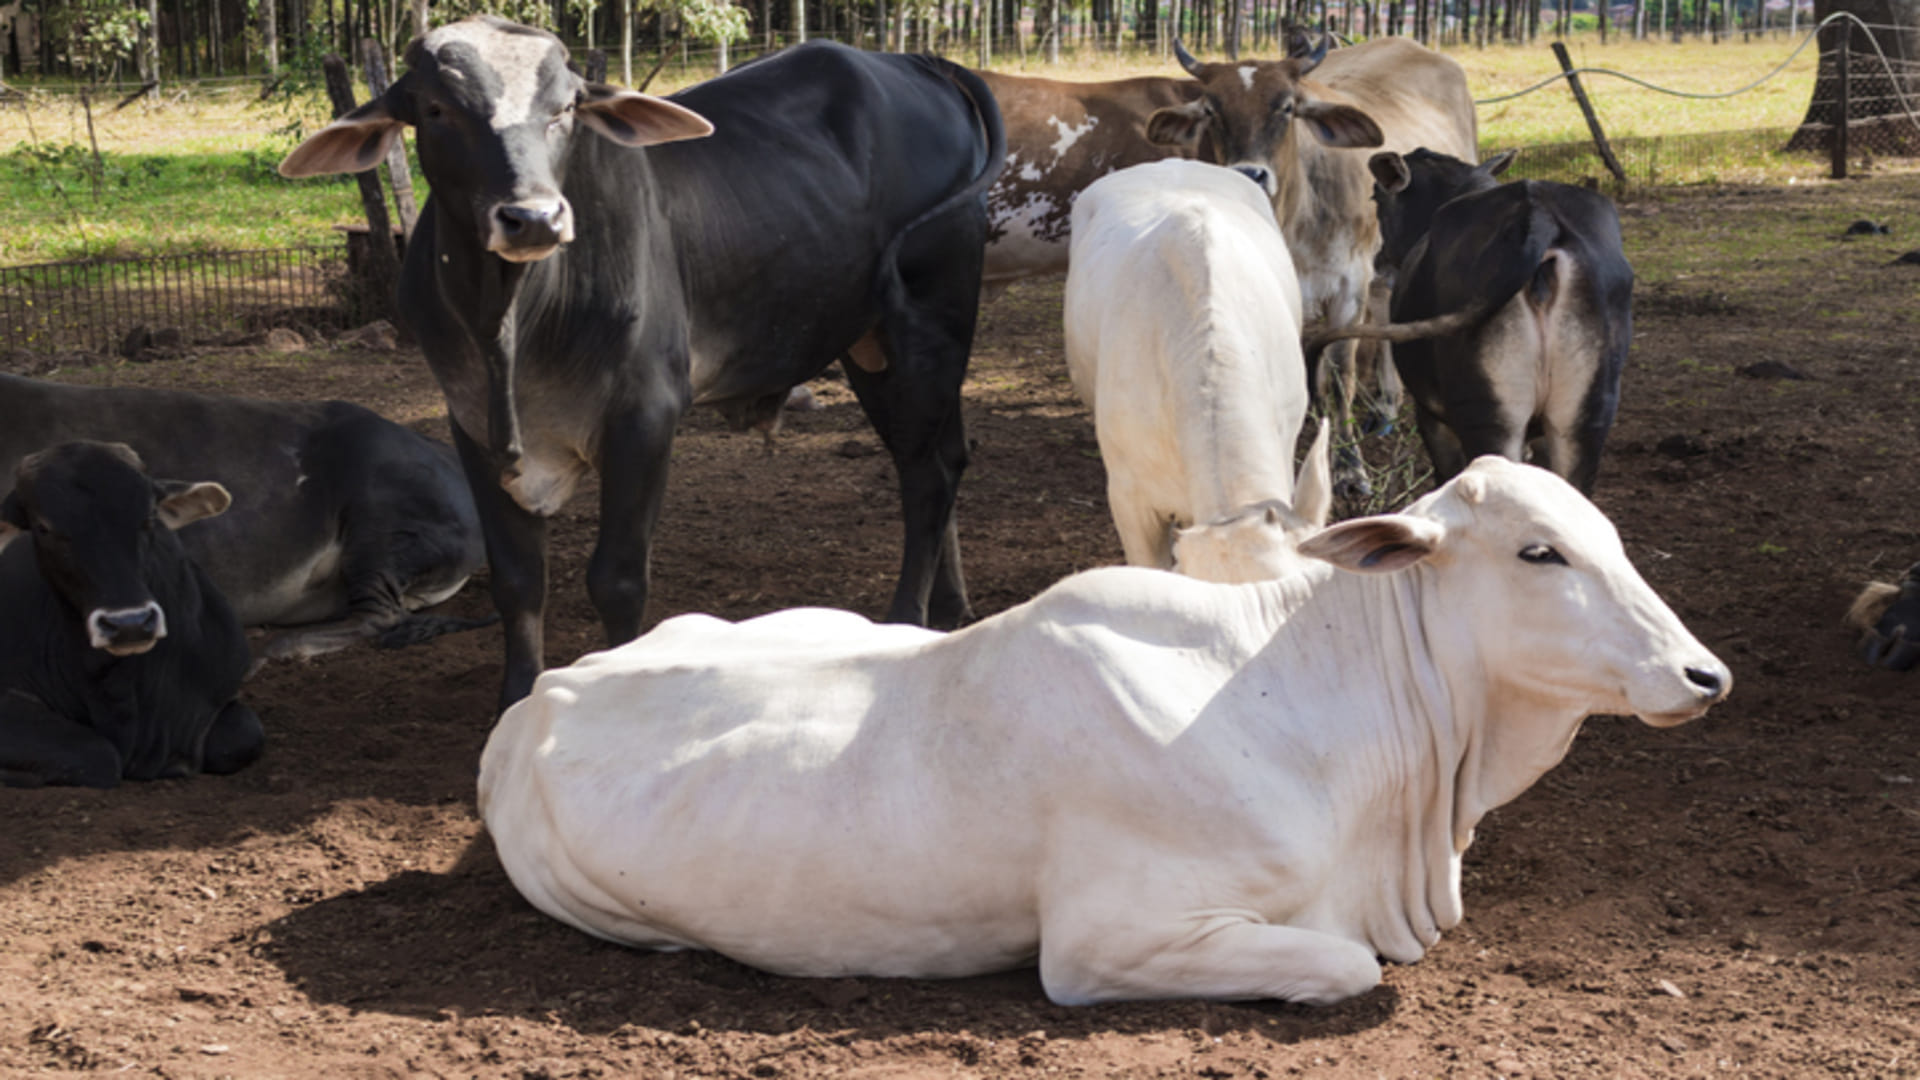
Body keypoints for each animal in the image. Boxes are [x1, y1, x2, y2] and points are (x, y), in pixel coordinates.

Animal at [279, 18, 1005, 711]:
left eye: (565, 108)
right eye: (436, 109)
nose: (533, 217)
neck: (511, 322)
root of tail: (916, 62)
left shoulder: (644, 416)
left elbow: (618, 579)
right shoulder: (474, 427)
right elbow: (519, 580)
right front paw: (514, 702)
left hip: (927, 323)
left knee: (928, 475)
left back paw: (908, 616)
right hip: (872, 347)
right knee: (941, 459)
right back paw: (950, 608)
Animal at [1144, 35, 1478, 498]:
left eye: (1287, 106)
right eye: (1211, 109)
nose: (1250, 174)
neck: (1294, 217)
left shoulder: (1348, 286)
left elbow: (1338, 377)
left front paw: (1349, 469)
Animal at [1306, 149, 1632, 495]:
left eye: (1376, 196)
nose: (1378, 259)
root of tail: (1537, 221)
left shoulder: (1432, 417)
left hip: (1489, 420)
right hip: (1583, 421)